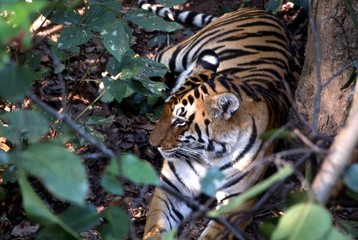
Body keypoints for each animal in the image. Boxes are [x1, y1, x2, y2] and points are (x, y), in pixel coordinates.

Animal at [137, 0, 302, 239]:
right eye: (164, 111)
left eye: (180, 121)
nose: (152, 144)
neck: (208, 156)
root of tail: (268, 14)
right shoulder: (171, 188)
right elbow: (154, 227)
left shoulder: (237, 203)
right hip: (180, 53)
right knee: (148, 60)